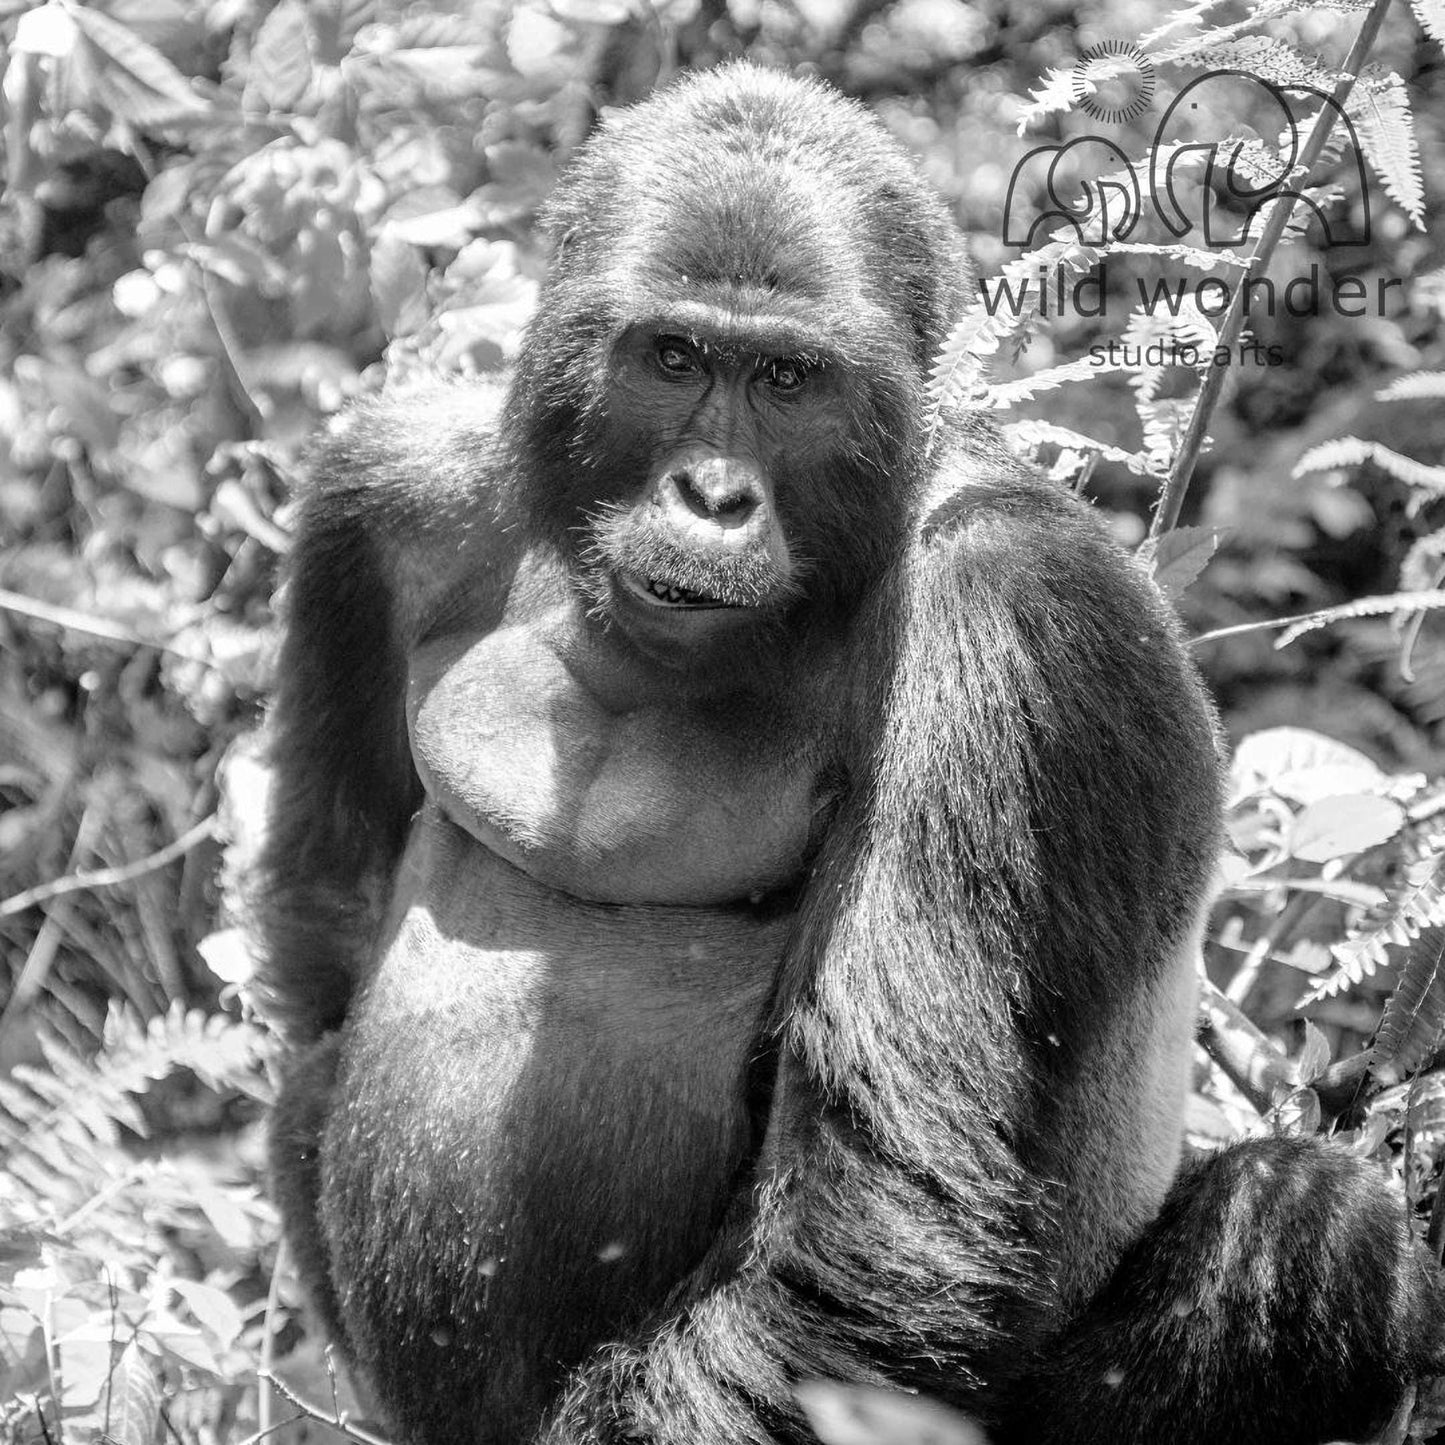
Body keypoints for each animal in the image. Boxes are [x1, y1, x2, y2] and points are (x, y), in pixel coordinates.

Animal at [255, 62, 1444, 1445]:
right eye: (670, 357)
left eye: (786, 380)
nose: (712, 498)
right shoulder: (389, 485)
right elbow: (328, 914)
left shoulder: (1012, 604)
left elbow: (864, 1217)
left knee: (1313, 1225)